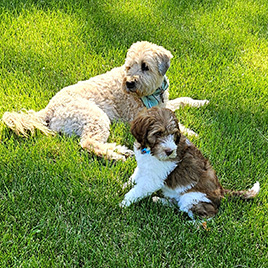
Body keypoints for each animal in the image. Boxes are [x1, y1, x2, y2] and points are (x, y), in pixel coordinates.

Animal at [1, 40, 207, 160]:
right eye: (129, 66)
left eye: (145, 66)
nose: (129, 83)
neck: (152, 92)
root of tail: (49, 108)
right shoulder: (139, 117)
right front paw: (190, 131)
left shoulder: (163, 103)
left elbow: (182, 100)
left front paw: (201, 102)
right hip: (95, 116)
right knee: (88, 143)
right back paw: (116, 155)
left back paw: (120, 151)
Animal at [121, 107, 260, 220]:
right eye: (158, 133)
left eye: (173, 134)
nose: (170, 151)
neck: (150, 151)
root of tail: (221, 191)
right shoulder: (143, 166)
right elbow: (135, 176)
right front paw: (124, 185)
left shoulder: (153, 179)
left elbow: (138, 190)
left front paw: (123, 203)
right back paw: (160, 201)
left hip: (192, 198)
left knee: (207, 216)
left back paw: (193, 225)